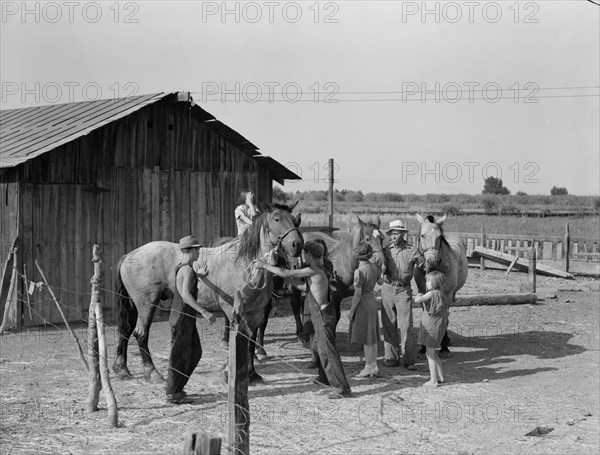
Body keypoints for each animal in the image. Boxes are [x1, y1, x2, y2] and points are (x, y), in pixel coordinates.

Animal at [111, 206, 304, 384]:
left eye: (295, 221)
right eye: (277, 219)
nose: (297, 244)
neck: (245, 264)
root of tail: (130, 255)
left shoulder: (256, 312)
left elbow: (250, 340)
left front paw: (252, 374)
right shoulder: (232, 310)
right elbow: (236, 338)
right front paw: (228, 372)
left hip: (133, 305)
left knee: (125, 331)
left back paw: (122, 369)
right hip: (147, 304)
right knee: (140, 334)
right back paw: (152, 373)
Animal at [418, 214, 468, 356]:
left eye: (440, 237)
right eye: (422, 235)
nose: (432, 262)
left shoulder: (448, 294)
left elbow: (445, 317)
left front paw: (444, 347)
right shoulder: (423, 293)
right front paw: (422, 347)